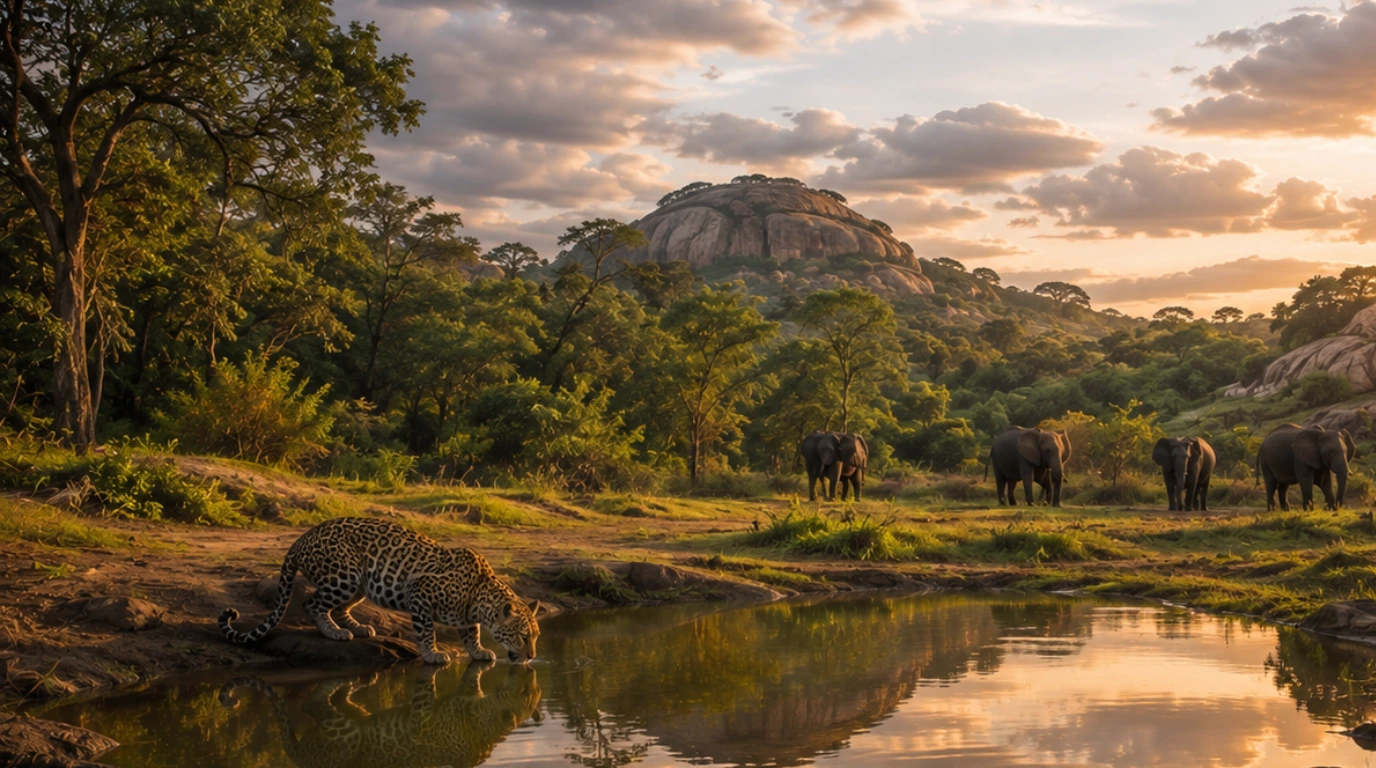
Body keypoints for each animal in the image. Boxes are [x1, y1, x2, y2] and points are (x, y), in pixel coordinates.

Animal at [219, 517, 540, 664]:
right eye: (523, 636)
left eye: (536, 637)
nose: (533, 656)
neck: (478, 596)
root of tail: (300, 539)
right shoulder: (418, 593)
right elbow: (427, 631)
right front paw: (432, 654)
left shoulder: (466, 616)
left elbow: (471, 632)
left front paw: (479, 650)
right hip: (344, 575)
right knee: (313, 605)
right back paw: (334, 632)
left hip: (360, 582)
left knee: (338, 607)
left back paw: (359, 628)